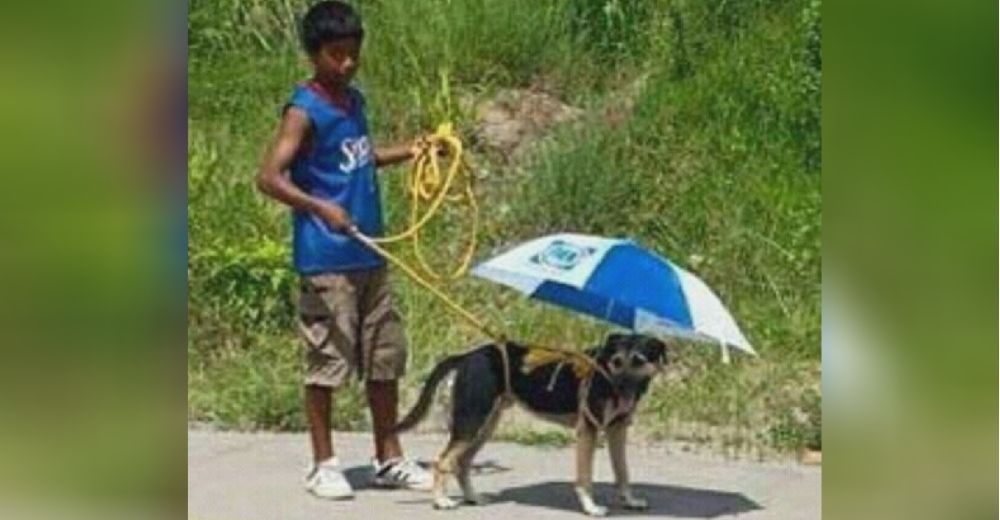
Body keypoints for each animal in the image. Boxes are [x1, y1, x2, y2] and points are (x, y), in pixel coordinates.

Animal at [394, 334, 668, 516]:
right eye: (617, 361)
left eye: (639, 361)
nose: (620, 386)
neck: (603, 372)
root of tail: (467, 356)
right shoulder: (587, 431)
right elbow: (585, 477)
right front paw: (590, 507)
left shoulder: (617, 430)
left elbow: (623, 472)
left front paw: (630, 501)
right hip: (471, 423)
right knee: (442, 460)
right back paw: (441, 501)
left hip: (484, 426)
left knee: (461, 463)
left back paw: (473, 498)